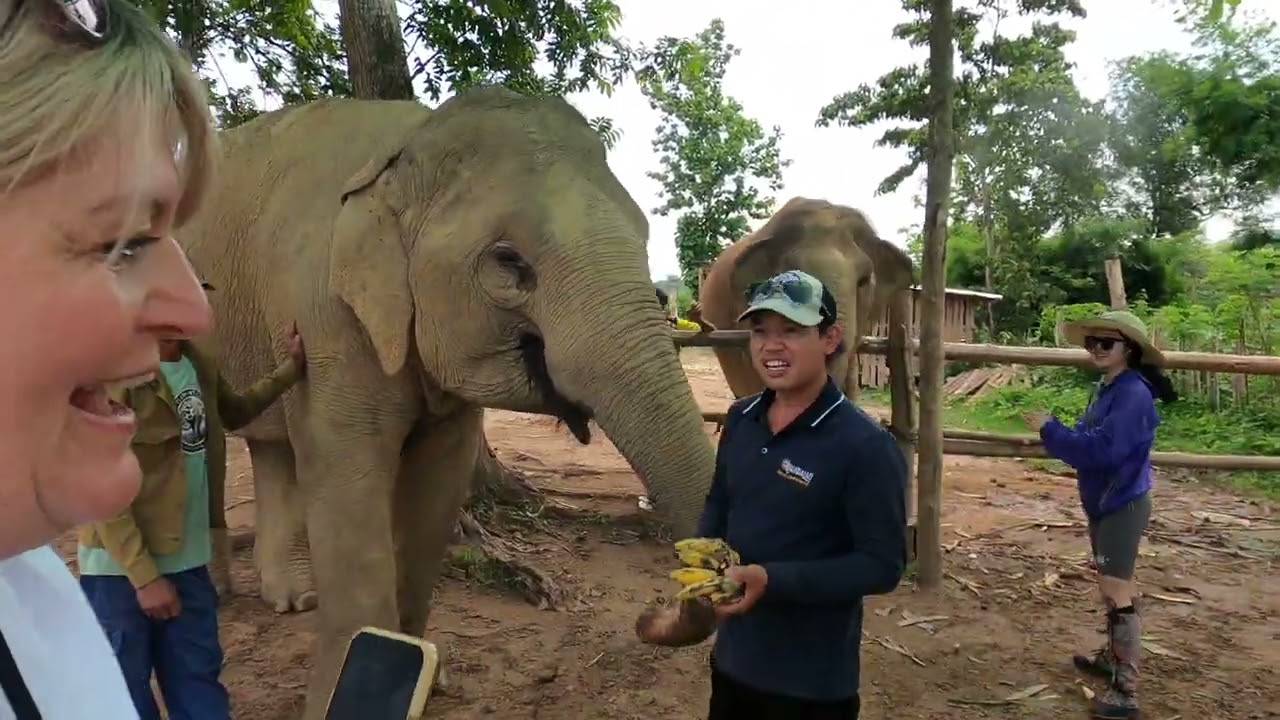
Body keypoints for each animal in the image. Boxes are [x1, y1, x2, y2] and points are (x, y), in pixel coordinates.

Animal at [178, 87, 716, 718]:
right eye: (508, 261)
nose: (655, 614)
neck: (407, 147)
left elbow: (436, 487)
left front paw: (419, 676)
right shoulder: (324, 316)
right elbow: (348, 484)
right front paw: (344, 697)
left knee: (270, 445)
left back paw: (293, 599)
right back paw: (217, 593)